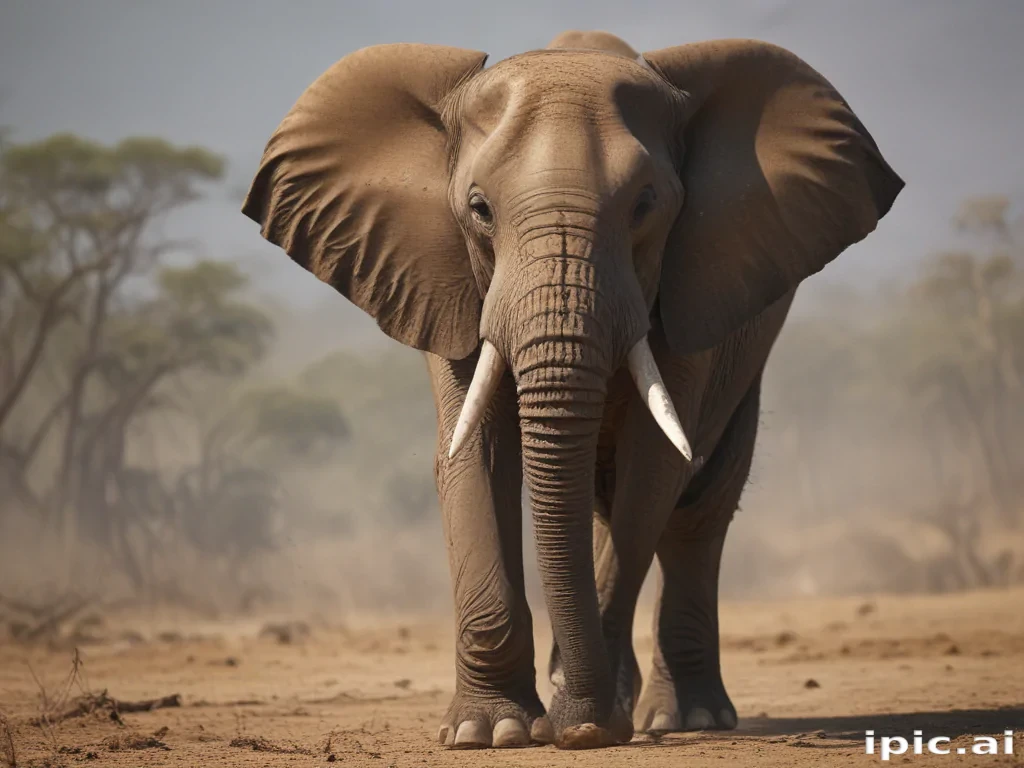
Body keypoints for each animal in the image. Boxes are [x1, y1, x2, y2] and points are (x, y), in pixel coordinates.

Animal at [242, 29, 903, 750]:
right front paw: (489, 732)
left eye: (645, 205)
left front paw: (586, 723)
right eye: (478, 209)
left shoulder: (691, 284)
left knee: (698, 507)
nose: (580, 724)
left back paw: (685, 717)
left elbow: (654, 467)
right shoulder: (446, 279)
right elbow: (474, 457)